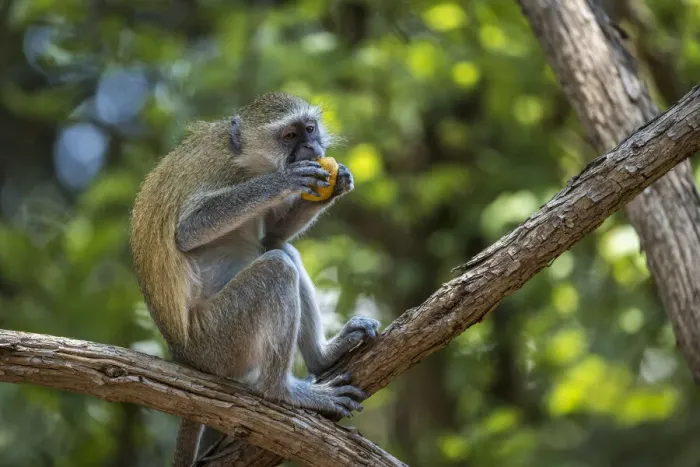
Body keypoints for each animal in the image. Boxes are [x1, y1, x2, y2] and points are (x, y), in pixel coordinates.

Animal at [129, 92, 380, 466]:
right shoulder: (220, 170)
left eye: (309, 129)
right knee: (277, 267)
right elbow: (188, 231)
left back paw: (323, 358)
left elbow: (273, 234)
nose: (312, 147)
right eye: (290, 136)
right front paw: (284, 181)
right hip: (219, 341)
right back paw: (283, 393)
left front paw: (339, 182)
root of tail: (184, 356)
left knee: (281, 249)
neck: (247, 163)